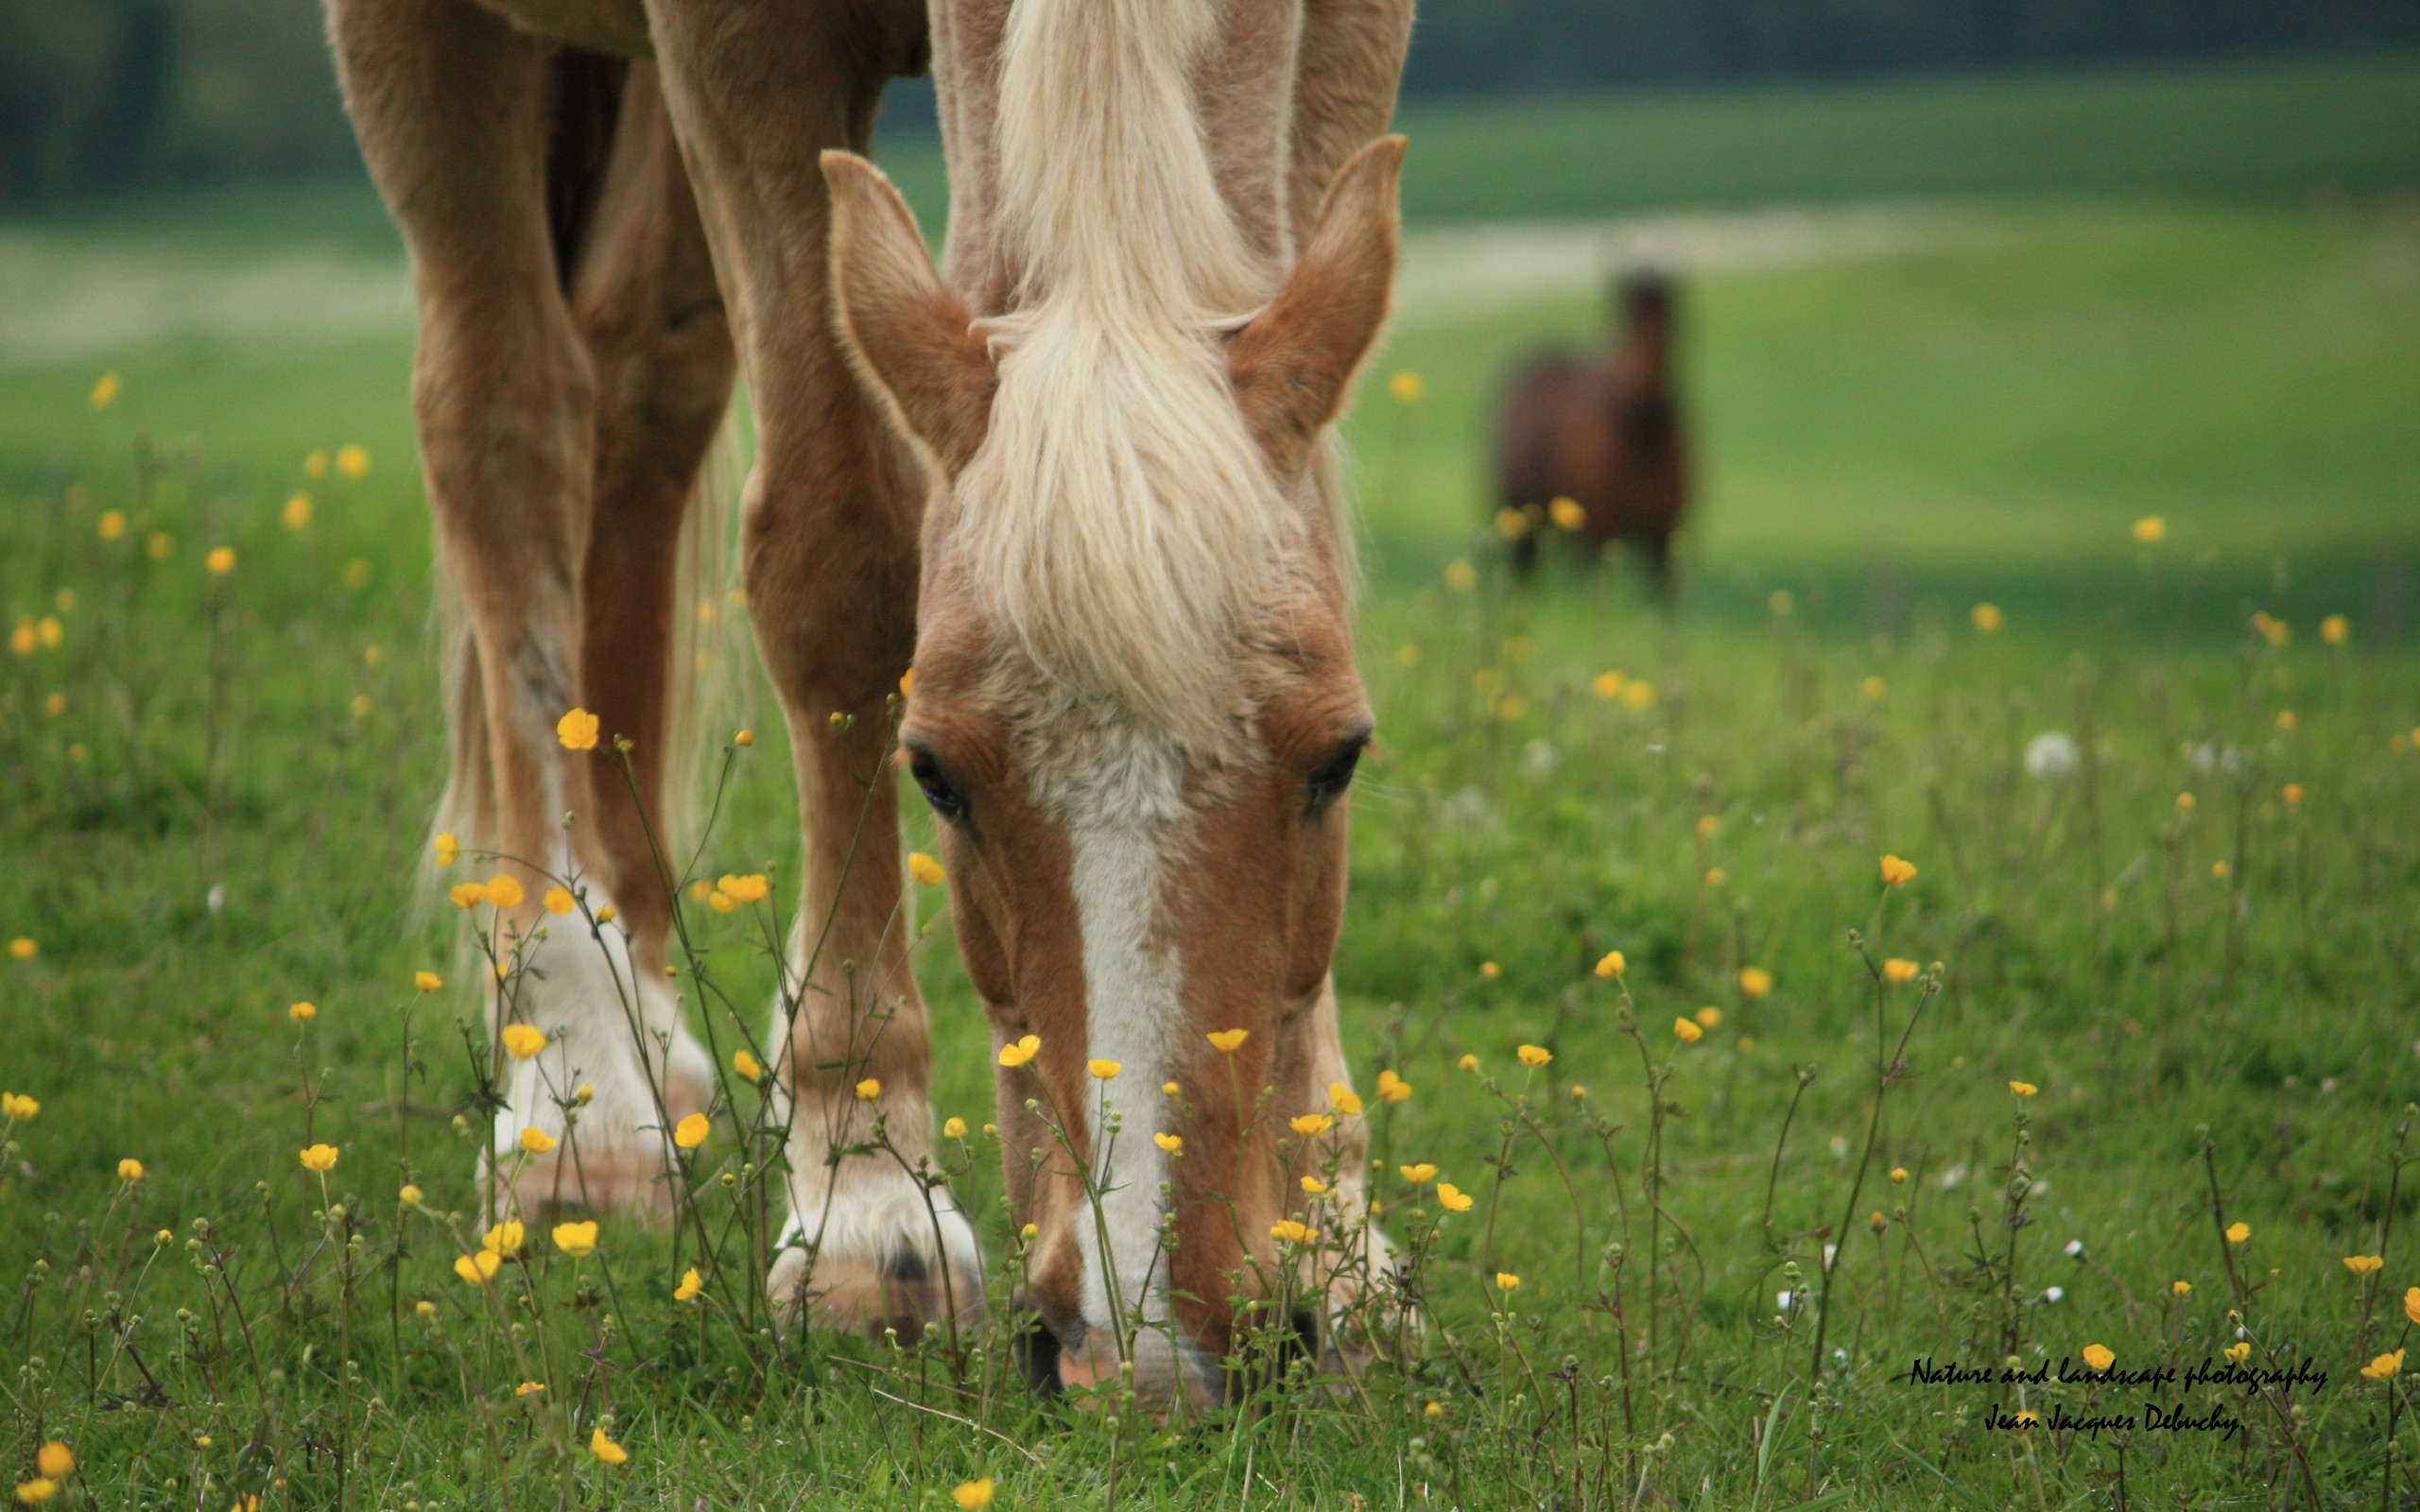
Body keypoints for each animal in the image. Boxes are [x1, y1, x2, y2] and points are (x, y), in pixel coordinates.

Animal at [331, 0, 1413, 1402]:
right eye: (934, 772)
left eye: (1341, 756)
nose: (1151, 1350)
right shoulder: (738, 55)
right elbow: (832, 556)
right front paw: (862, 1200)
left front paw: (1340, 1239)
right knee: (504, 422)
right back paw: (582, 1089)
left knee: (639, 386)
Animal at [1490, 268, 1684, 588]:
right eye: (1619, 314)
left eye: (1668, 316)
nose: (1640, 386)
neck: (1644, 441)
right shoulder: (1600, 531)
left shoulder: (1665, 537)